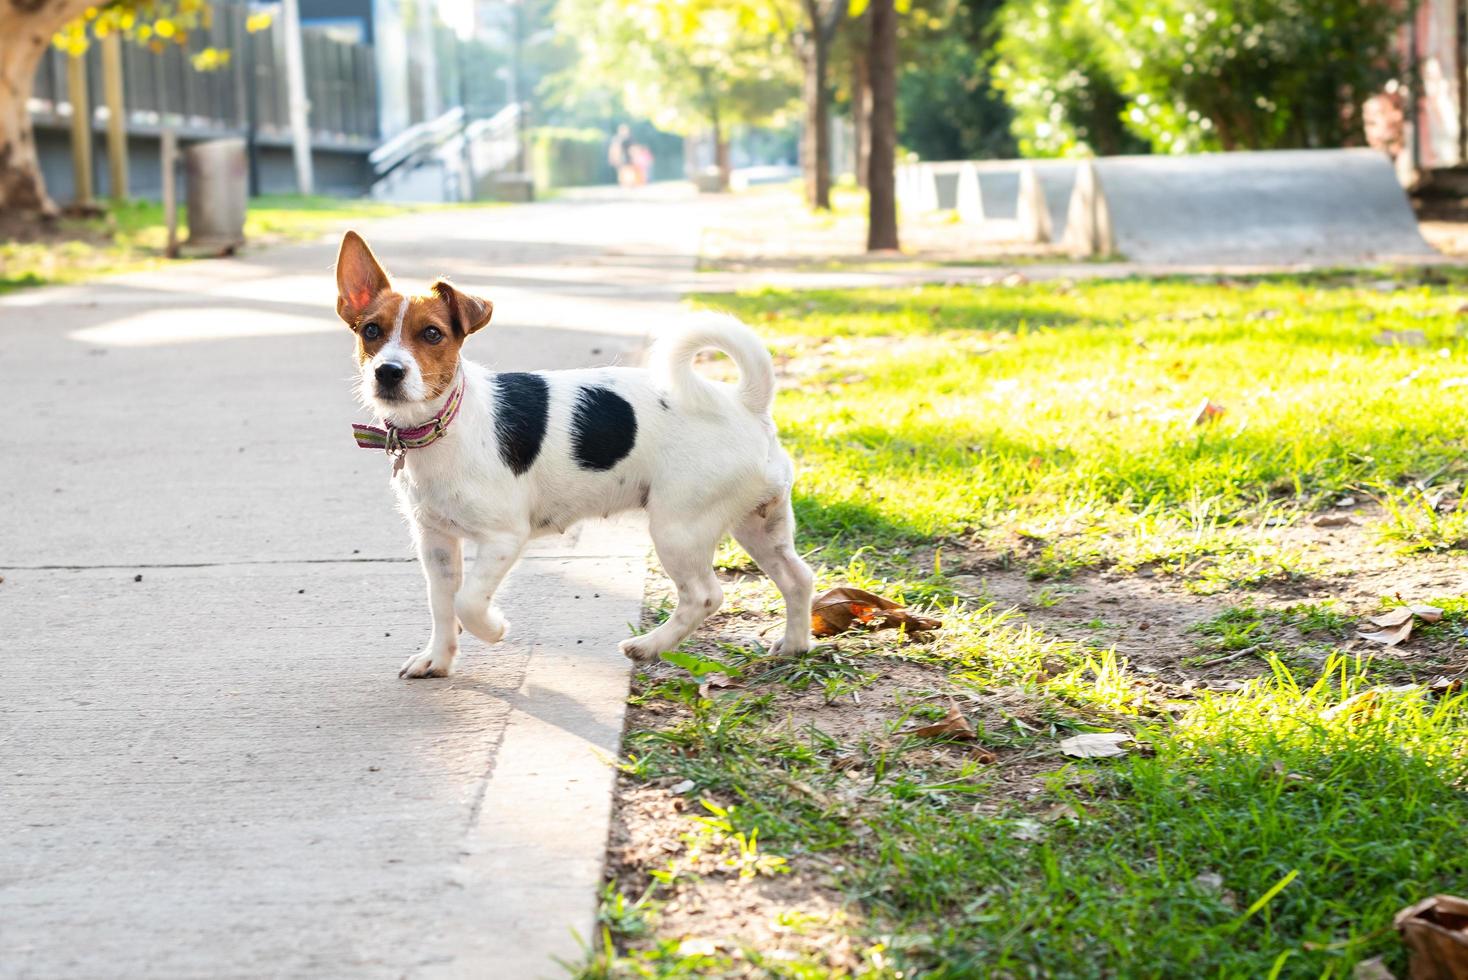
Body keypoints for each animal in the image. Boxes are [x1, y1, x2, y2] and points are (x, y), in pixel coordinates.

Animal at [336, 230, 816, 677]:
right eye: (371, 331)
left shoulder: (503, 537)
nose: (388, 372)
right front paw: (438, 658)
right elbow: (442, 603)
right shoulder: (435, 541)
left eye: (432, 334)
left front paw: (494, 628)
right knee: (797, 577)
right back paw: (794, 644)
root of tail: (746, 403)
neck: (444, 424)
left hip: (679, 528)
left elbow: (468, 602)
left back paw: (649, 645)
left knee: (705, 595)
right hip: (758, 523)